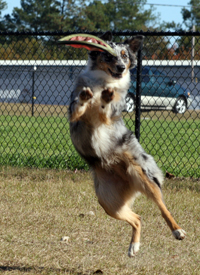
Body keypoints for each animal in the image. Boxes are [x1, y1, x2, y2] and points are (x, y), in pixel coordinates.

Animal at [68, 31, 186, 258]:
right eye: (109, 55)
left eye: (125, 55)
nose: (122, 67)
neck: (104, 82)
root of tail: (126, 181)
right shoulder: (74, 115)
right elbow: (80, 104)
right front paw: (86, 96)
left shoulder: (108, 117)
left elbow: (105, 108)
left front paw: (106, 96)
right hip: (109, 202)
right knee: (138, 218)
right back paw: (134, 246)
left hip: (142, 174)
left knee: (162, 208)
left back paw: (177, 230)